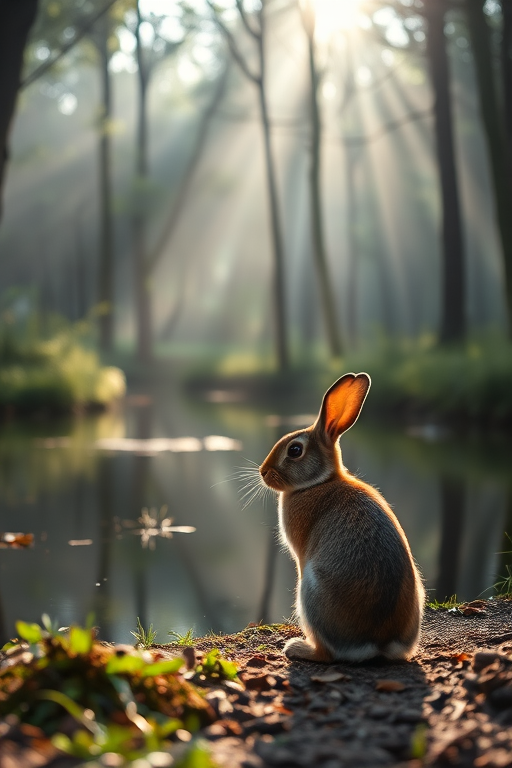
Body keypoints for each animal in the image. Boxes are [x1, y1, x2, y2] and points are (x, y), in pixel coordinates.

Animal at [259, 372, 424, 663]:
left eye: (294, 450)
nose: (263, 472)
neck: (319, 482)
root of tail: (376, 643)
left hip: (309, 590)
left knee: (327, 653)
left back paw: (297, 648)